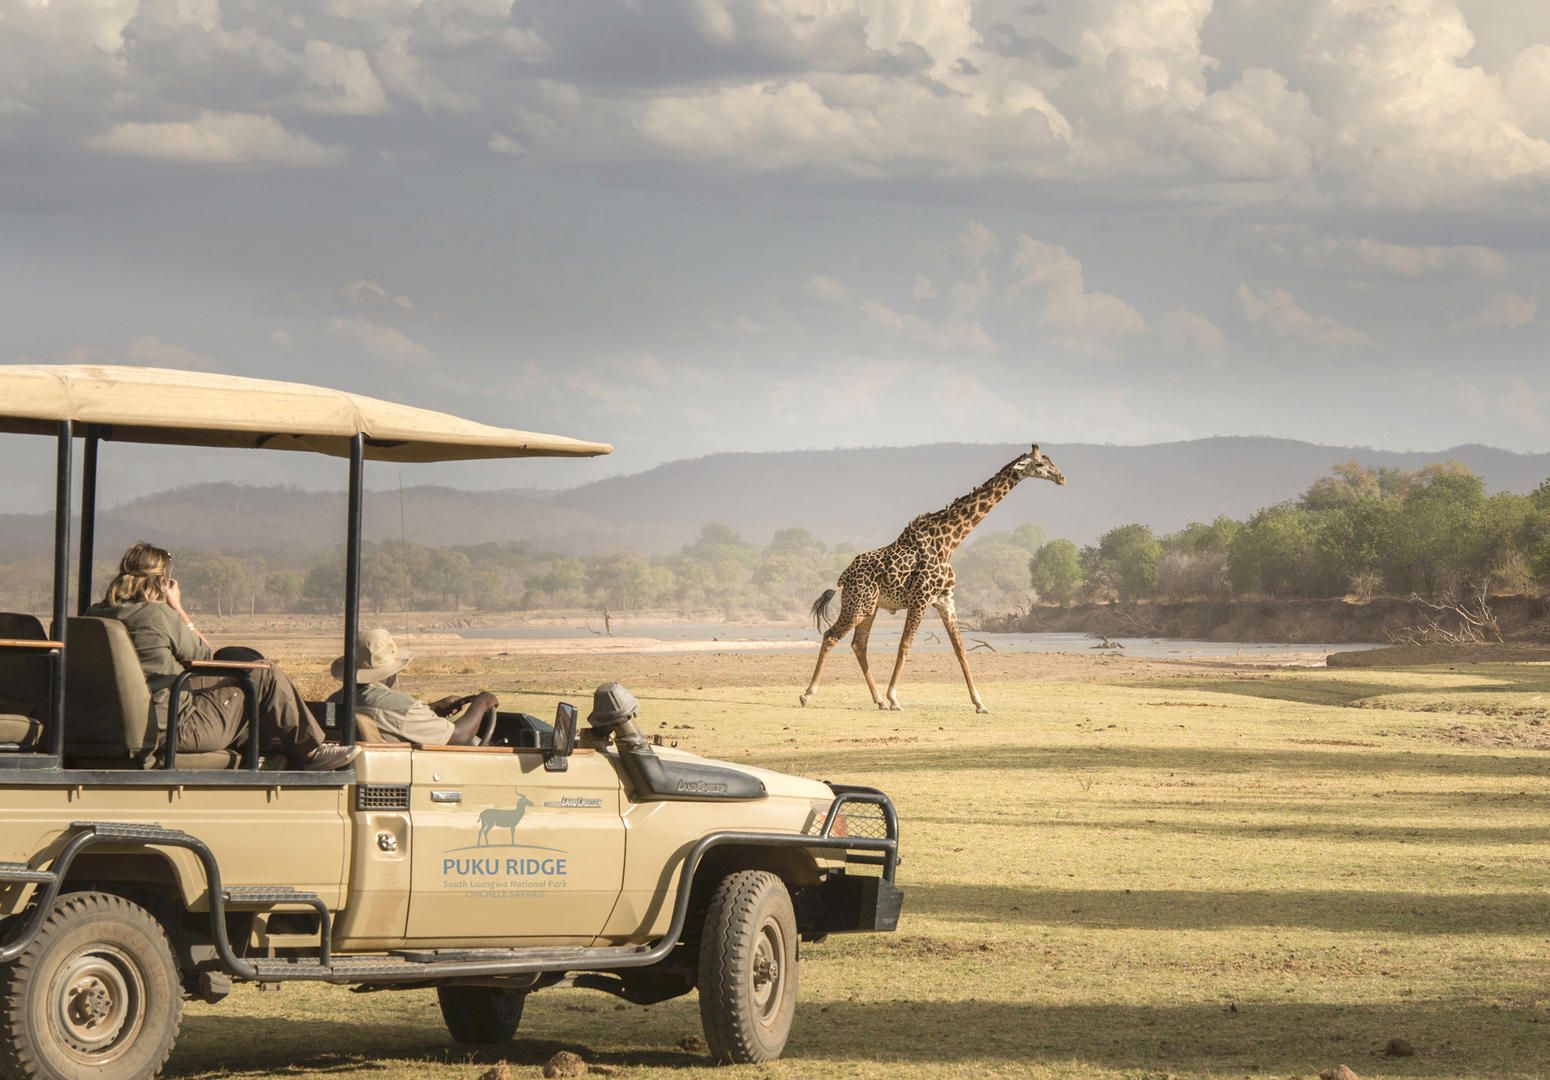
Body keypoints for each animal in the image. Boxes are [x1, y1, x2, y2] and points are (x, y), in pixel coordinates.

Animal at [799, 445, 1065, 713]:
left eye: (1050, 461)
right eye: (1040, 464)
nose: (1061, 478)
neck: (950, 542)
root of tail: (843, 576)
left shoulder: (945, 600)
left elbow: (960, 649)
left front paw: (980, 703)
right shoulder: (920, 599)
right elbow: (905, 645)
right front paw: (895, 698)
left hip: (869, 607)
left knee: (859, 644)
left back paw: (878, 700)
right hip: (858, 605)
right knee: (831, 636)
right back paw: (808, 695)